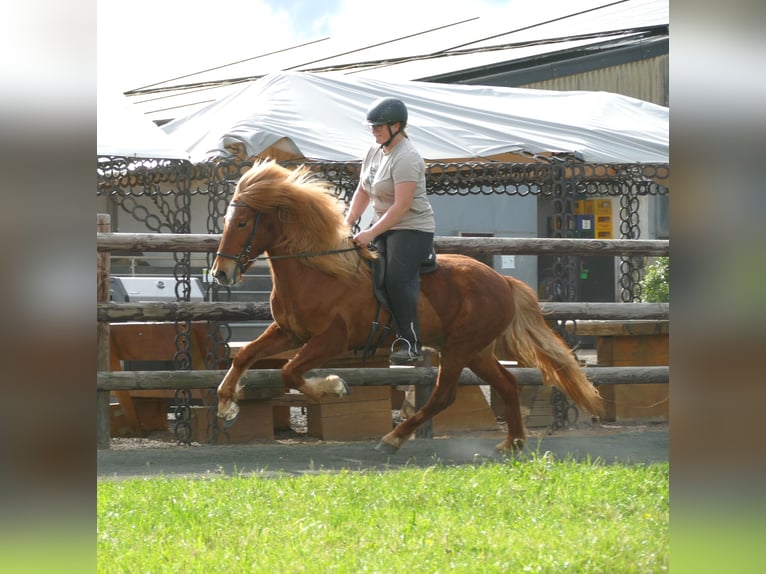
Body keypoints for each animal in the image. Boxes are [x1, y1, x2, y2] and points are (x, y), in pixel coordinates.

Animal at [213, 161, 604, 454]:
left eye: (243, 223)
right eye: (227, 222)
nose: (220, 273)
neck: (318, 271)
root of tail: (501, 280)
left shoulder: (333, 340)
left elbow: (290, 372)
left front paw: (334, 387)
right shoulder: (289, 332)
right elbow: (245, 355)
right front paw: (226, 405)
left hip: (460, 349)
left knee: (444, 395)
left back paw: (393, 438)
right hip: (475, 351)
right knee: (506, 384)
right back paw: (513, 443)